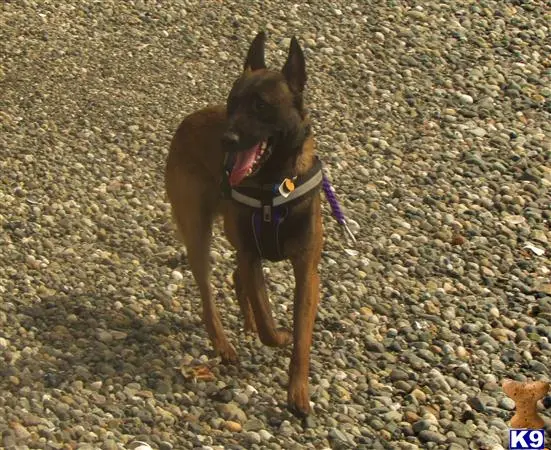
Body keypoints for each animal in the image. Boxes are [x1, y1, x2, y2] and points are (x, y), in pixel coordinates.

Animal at [166, 32, 326, 418]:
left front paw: (298, 392)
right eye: (233, 101)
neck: (274, 184)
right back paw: (224, 344)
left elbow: (301, 336)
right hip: (198, 234)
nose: (227, 140)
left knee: (236, 278)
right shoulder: (252, 255)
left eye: (261, 105)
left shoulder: (306, 270)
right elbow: (267, 316)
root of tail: (188, 120)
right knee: (210, 297)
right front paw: (276, 336)